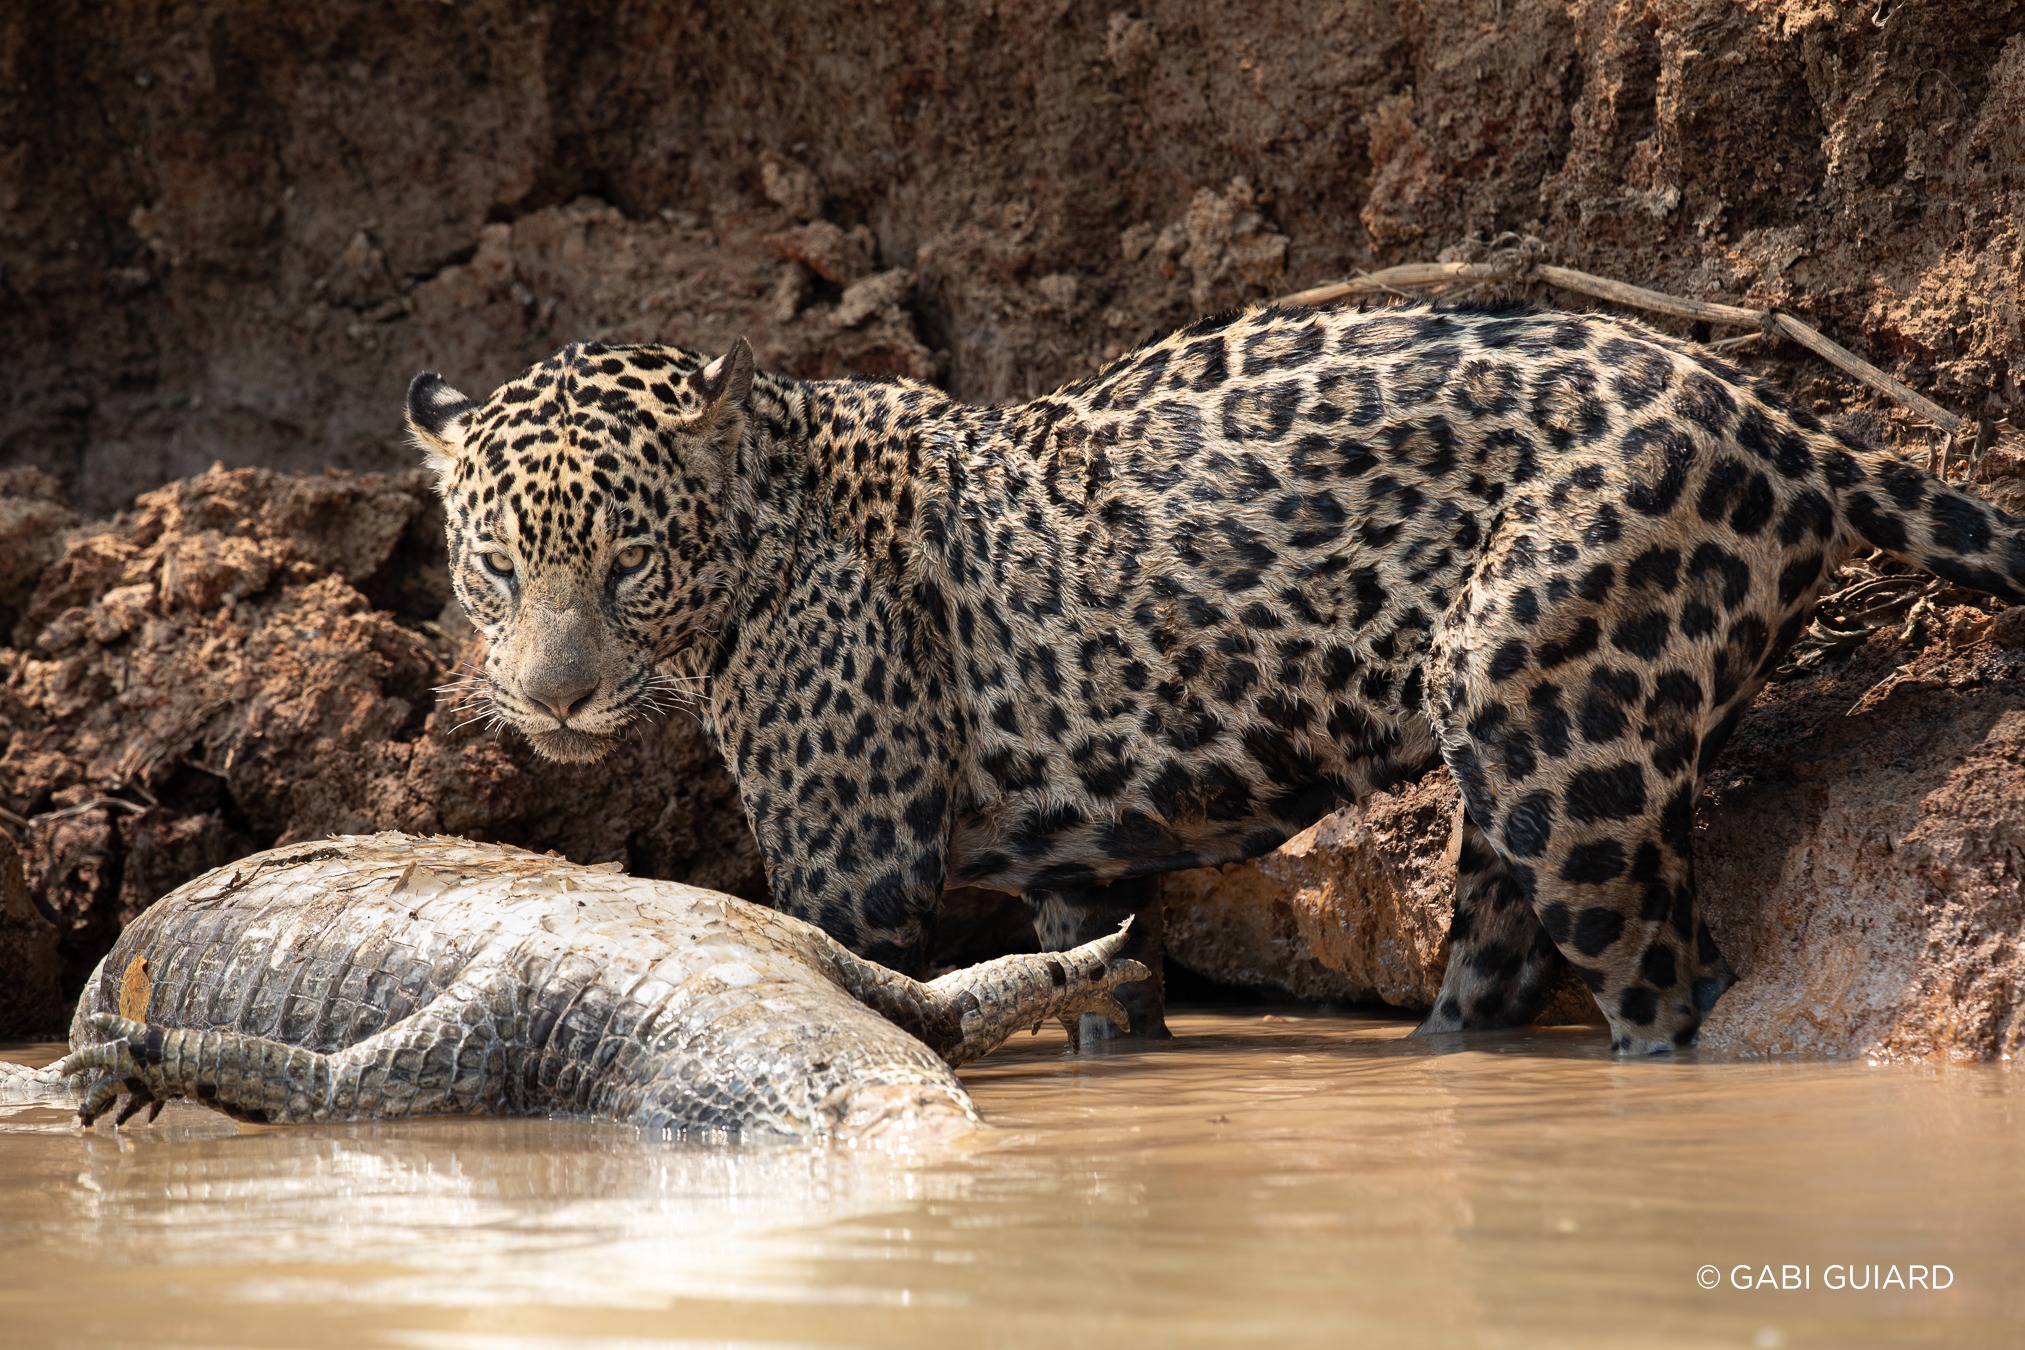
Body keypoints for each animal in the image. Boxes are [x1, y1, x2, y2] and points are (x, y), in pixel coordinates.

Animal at [404, 302, 2025, 1054]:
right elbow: (1102, 996)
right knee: (1498, 960)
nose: (549, 699)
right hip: (1521, 758)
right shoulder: (1079, 870)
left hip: (1552, 727)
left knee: (1666, 981)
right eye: (498, 569)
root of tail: (1777, 419)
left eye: (625, 563)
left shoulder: (850, 873)